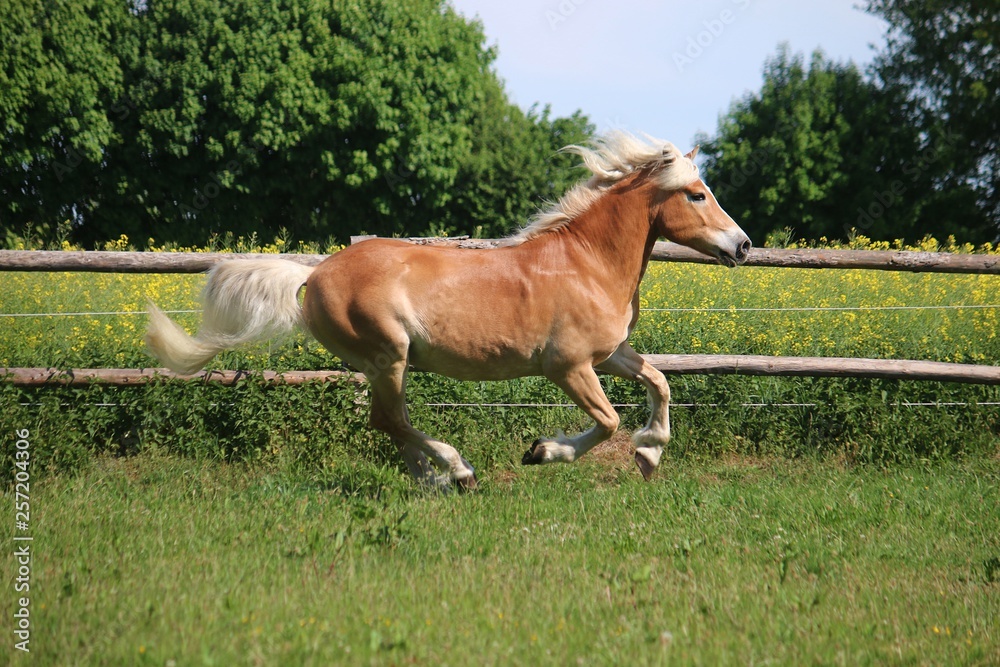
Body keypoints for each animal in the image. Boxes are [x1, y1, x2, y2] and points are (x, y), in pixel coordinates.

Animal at [146, 131, 751, 489]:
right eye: (696, 194)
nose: (743, 246)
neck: (586, 264)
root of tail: (313, 275)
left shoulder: (611, 354)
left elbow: (660, 382)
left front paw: (650, 455)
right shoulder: (569, 366)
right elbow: (607, 421)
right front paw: (541, 451)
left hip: (384, 364)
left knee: (389, 421)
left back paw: (432, 480)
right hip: (389, 355)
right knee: (390, 419)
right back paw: (457, 470)